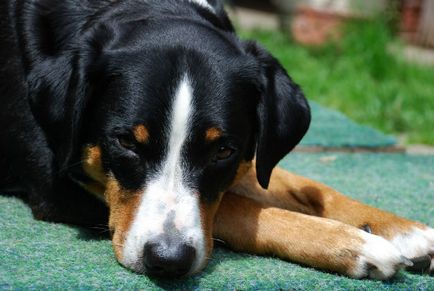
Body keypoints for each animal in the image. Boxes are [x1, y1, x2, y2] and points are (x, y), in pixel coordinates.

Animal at [0, 0, 434, 280]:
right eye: (125, 142)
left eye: (222, 150)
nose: (168, 260)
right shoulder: (57, 185)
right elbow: (241, 209)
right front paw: (355, 244)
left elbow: (307, 187)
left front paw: (401, 229)